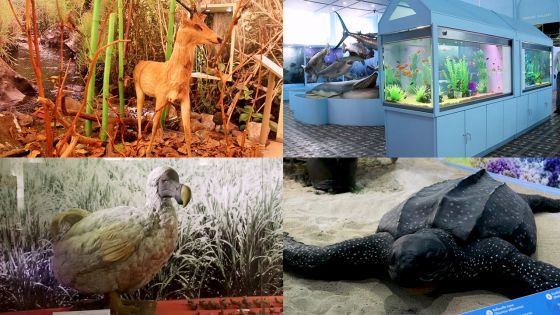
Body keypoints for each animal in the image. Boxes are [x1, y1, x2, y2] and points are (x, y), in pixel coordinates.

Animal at [134, 0, 223, 157]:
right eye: (196, 25)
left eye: (204, 22)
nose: (219, 38)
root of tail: (140, 63)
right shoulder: (161, 95)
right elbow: (154, 126)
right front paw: (148, 153)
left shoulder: (185, 98)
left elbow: (187, 131)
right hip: (139, 89)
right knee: (139, 112)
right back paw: (139, 138)